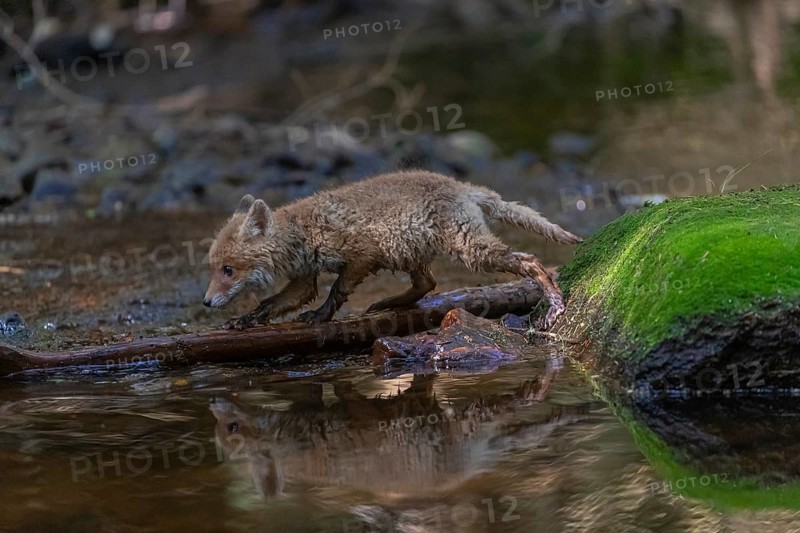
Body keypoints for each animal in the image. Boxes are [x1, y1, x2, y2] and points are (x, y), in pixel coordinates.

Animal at [203, 171, 581, 330]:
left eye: (228, 270)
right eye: (213, 268)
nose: (205, 302)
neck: (304, 233)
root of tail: (462, 186)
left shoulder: (362, 254)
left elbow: (336, 291)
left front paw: (322, 317)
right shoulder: (304, 279)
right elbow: (270, 304)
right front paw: (243, 321)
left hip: (469, 249)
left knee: (529, 260)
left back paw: (554, 304)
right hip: (413, 252)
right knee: (428, 284)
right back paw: (388, 303)